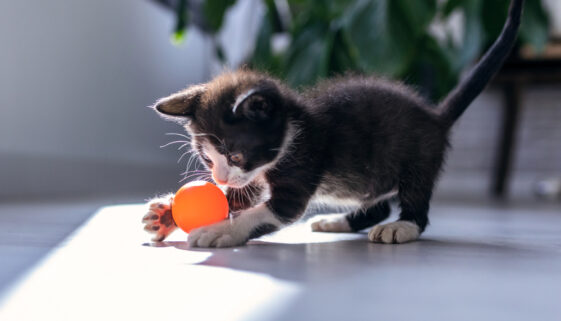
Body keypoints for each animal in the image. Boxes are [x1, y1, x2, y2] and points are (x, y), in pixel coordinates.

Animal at [142, 0, 524, 248]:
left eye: (235, 155)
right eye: (208, 159)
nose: (219, 178)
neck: (293, 130)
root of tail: (435, 115)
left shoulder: (302, 164)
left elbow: (264, 212)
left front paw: (221, 230)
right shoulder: (252, 178)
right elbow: (240, 197)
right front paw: (166, 215)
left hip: (418, 157)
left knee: (415, 200)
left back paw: (402, 227)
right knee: (378, 203)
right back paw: (337, 221)